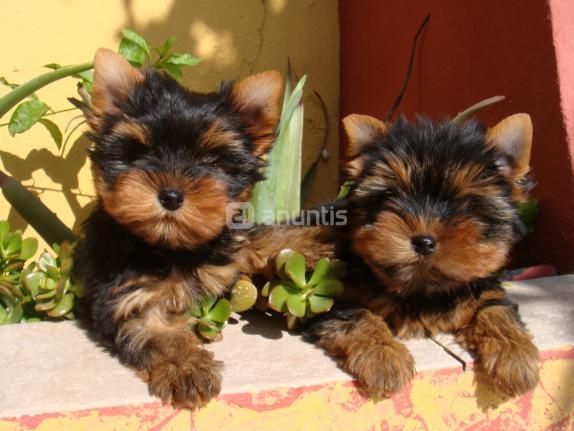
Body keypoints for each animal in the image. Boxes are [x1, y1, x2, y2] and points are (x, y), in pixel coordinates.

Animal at [75, 49, 284, 410]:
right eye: (140, 152)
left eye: (211, 161)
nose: (171, 195)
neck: (172, 248)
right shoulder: (127, 295)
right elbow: (159, 333)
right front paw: (186, 367)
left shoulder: (228, 257)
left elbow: (259, 244)